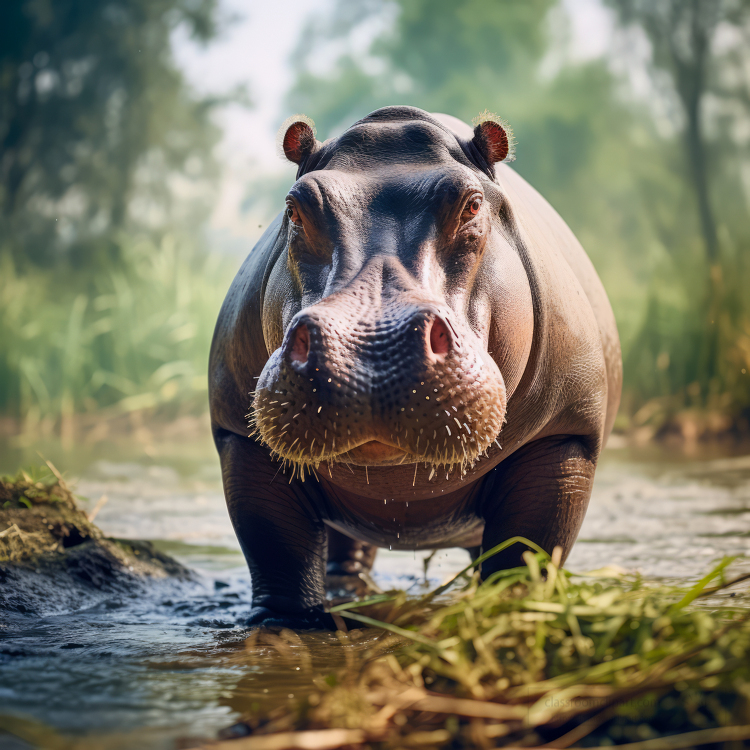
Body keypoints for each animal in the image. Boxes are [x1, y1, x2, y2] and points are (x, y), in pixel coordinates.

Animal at [209, 106, 621, 630]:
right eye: (295, 207)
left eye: (472, 205)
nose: (370, 345)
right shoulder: (242, 442)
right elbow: (277, 554)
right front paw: (283, 630)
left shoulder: (564, 436)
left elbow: (526, 553)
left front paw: (515, 612)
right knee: (344, 547)